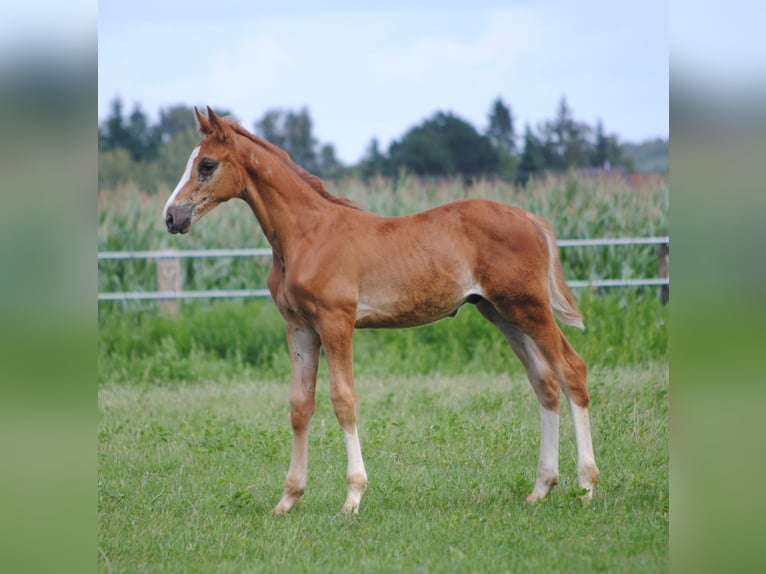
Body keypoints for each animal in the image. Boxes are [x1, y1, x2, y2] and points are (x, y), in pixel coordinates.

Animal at [163, 107, 599, 514]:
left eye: (207, 164)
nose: (171, 216)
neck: (307, 235)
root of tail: (530, 217)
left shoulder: (336, 322)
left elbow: (344, 400)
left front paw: (353, 495)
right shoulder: (299, 327)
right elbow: (300, 406)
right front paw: (288, 498)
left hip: (529, 307)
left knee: (571, 369)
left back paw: (587, 486)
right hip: (501, 312)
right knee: (544, 381)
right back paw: (541, 488)